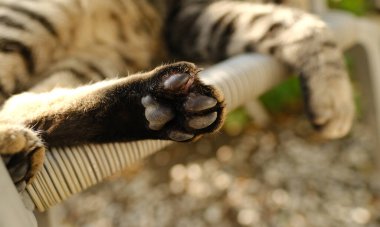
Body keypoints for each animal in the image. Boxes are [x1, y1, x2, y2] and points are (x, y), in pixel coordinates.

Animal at [0, 0, 354, 190]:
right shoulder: (187, 15)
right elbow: (296, 24)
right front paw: (336, 97)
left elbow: (287, 19)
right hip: (37, 15)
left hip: (97, 57)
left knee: (20, 103)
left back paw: (162, 107)